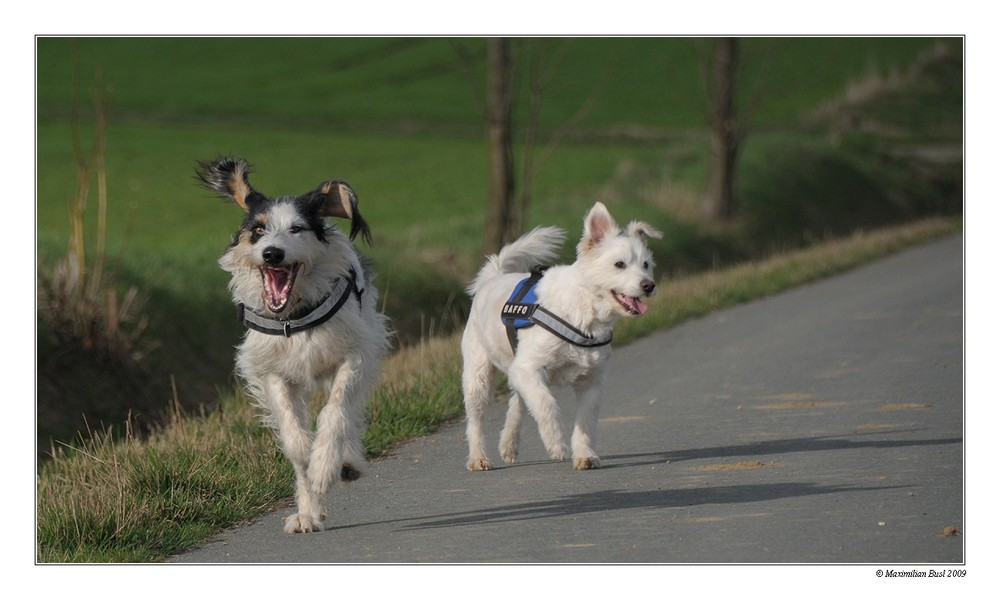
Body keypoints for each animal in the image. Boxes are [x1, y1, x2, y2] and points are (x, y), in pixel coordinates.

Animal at [195, 157, 390, 532]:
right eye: (258, 230)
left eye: (297, 228)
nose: (272, 253)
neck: (293, 317)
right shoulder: (271, 371)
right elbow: (292, 431)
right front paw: (308, 472)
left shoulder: (353, 356)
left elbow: (335, 411)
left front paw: (326, 465)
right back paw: (308, 513)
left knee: (349, 412)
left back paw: (347, 463)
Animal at [462, 204, 664, 472]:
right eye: (619, 264)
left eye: (646, 264)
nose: (648, 285)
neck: (583, 312)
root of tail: (492, 277)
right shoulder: (529, 368)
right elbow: (545, 404)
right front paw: (556, 444)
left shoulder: (591, 382)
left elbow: (585, 422)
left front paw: (585, 455)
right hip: (479, 374)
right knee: (476, 419)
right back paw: (478, 457)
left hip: (515, 369)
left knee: (517, 401)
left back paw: (509, 443)